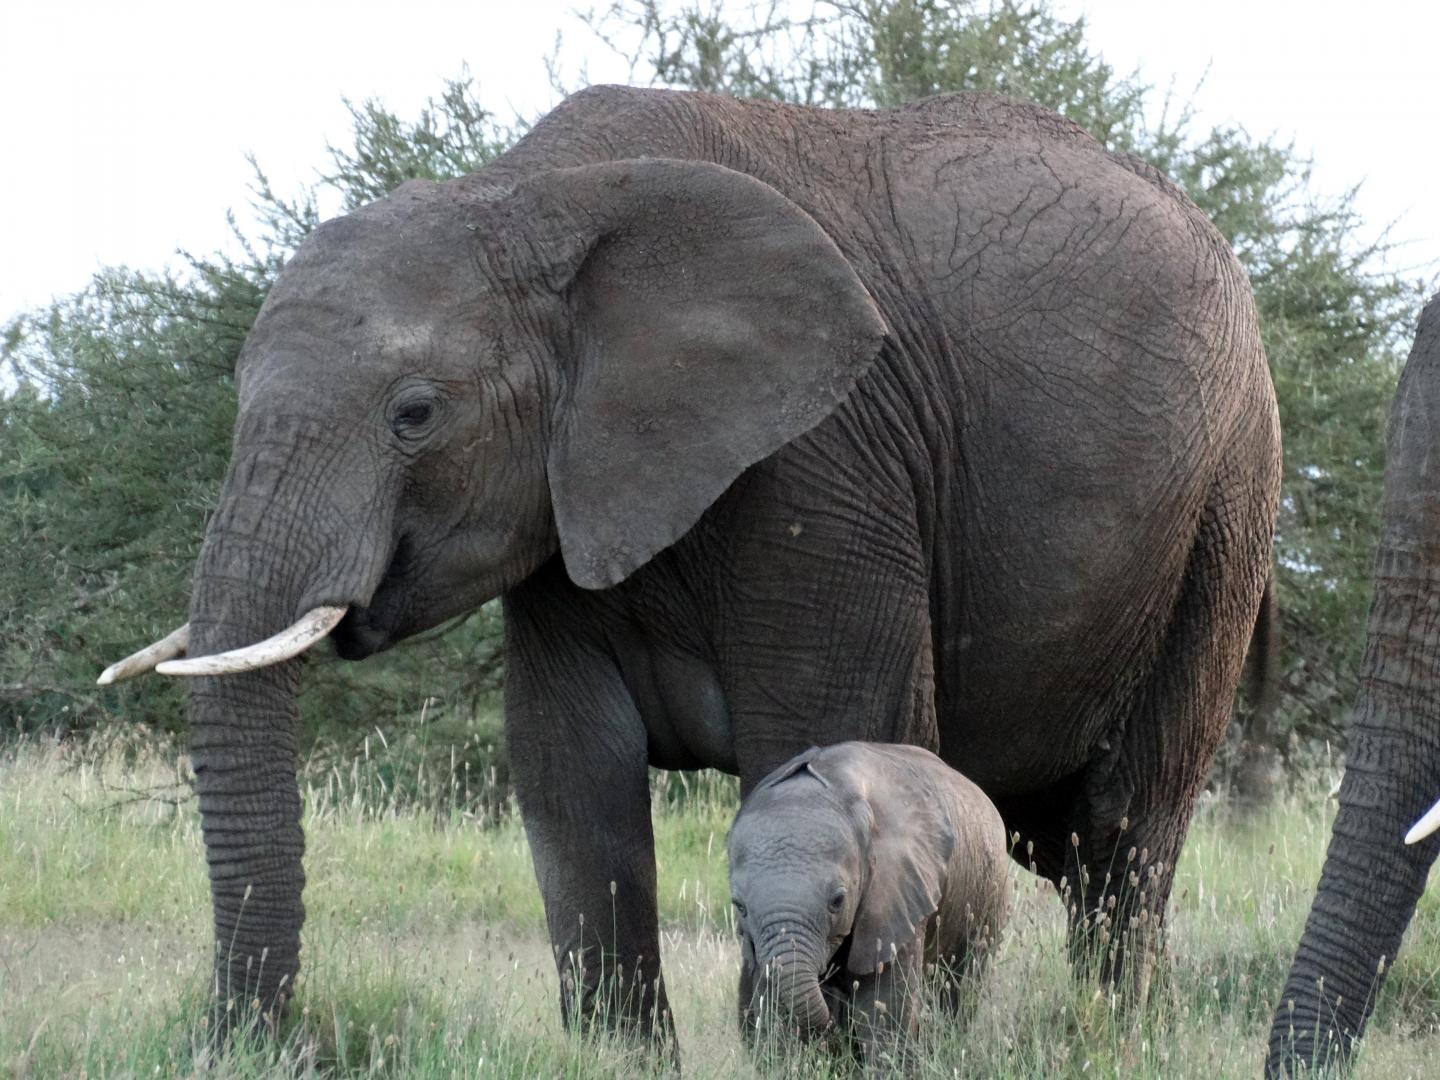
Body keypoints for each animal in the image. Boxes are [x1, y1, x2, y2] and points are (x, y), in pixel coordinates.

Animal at [728, 742, 1010, 1061]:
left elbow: (884, 1008)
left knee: (960, 988)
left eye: (837, 901)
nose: (831, 1021)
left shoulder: (899, 891)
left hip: (988, 898)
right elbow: (771, 1008)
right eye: (740, 907)